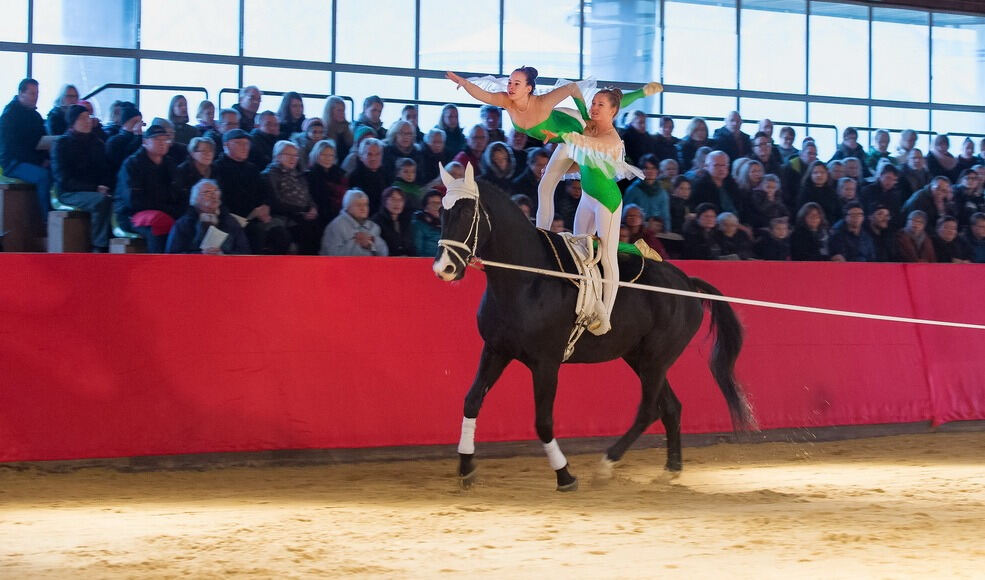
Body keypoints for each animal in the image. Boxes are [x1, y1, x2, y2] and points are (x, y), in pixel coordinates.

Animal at [432, 165, 752, 492]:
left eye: (467, 213)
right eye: (442, 213)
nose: (444, 269)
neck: (527, 279)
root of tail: (687, 283)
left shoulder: (546, 363)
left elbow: (543, 421)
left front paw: (565, 475)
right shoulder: (496, 350)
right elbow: (472, 401)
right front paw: (466, 468)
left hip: (656, 359)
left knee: (649, 409)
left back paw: (607, 464)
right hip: (641, 359)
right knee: (671, 407)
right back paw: (670, 469)